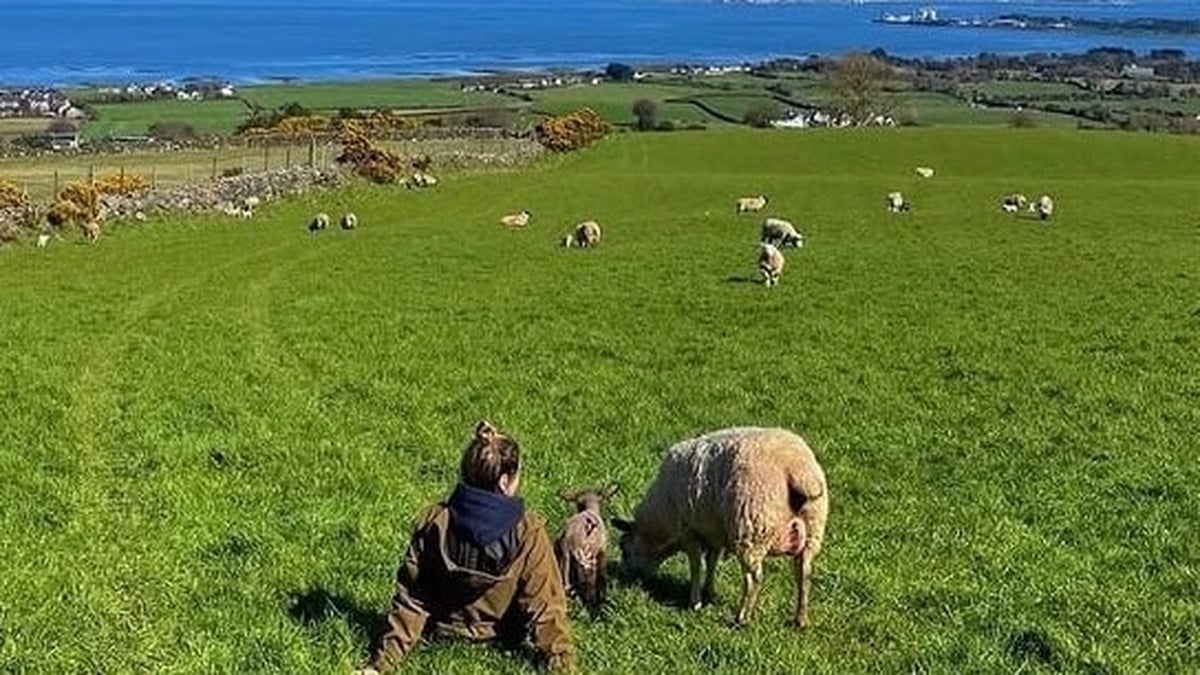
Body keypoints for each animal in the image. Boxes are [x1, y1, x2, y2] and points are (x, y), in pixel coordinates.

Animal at [613, 427, 828, 628]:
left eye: (624, 549)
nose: (625, 577)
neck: (660, 522)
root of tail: (799, 470)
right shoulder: (713, 533)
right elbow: (711, 562)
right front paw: (710, 593)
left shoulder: (688, 532)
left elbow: (696, 567)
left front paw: (695, 602)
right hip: (812, 530)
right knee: (804, 574)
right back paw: (800, 620)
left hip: (752, 529)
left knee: (754, 578)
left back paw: (742, 618)